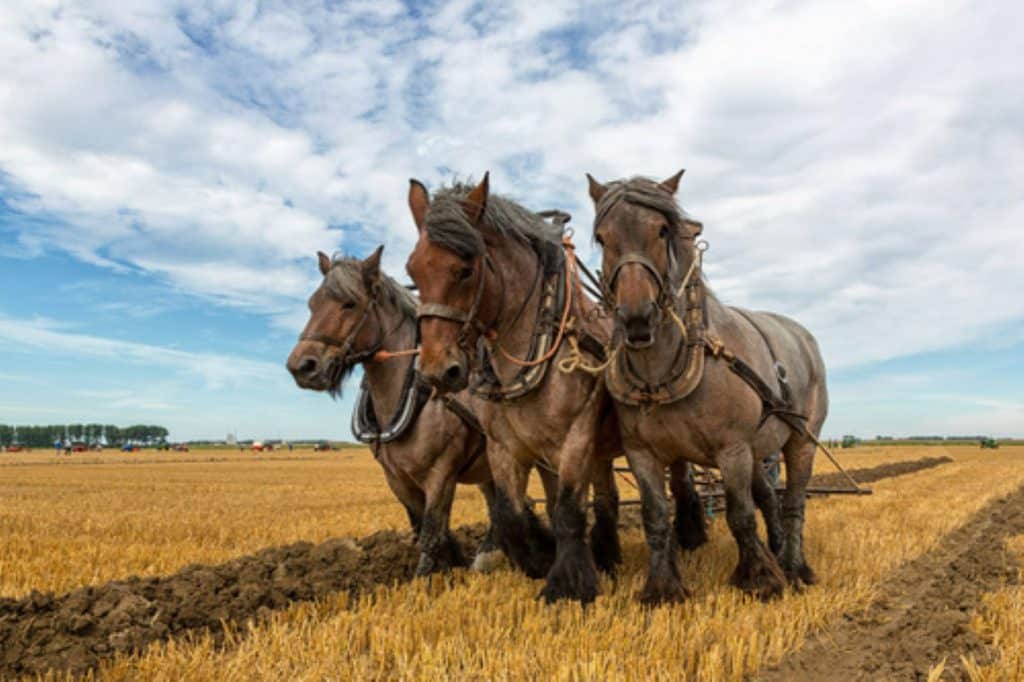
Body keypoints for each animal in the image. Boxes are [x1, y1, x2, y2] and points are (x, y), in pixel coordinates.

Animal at [284, 246, 536, 569]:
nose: (301, 366)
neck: (415, 394)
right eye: (312, 304)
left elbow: (431, 534)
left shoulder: (441, 474)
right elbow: (426, 530)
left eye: (349, 304)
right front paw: (453, 564)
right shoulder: (398, 479)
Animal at [403, 174, 708, 602]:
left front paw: (568, 583)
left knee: (680, 485)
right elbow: (512, 514)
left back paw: (690, 538)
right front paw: (539, 560)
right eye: (413, 271)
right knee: (607, 498)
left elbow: (567, 511)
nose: (436, 371)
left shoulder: (574, 437)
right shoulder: (505, 447)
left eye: (465, 269)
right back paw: (607, 555)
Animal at [589, 171, 827, 602]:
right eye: (602, 236)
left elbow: (740, 515)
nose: (637, 319)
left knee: (793, 501)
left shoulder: (732, 448)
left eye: (662, 229)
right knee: (769, 499)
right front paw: (662, 587)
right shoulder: (642, 452)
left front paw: (761, 579)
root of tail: (803, 336)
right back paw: (778, 549)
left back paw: (794, 566)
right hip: (758, 448)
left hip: (801, 439)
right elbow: (655, 516)